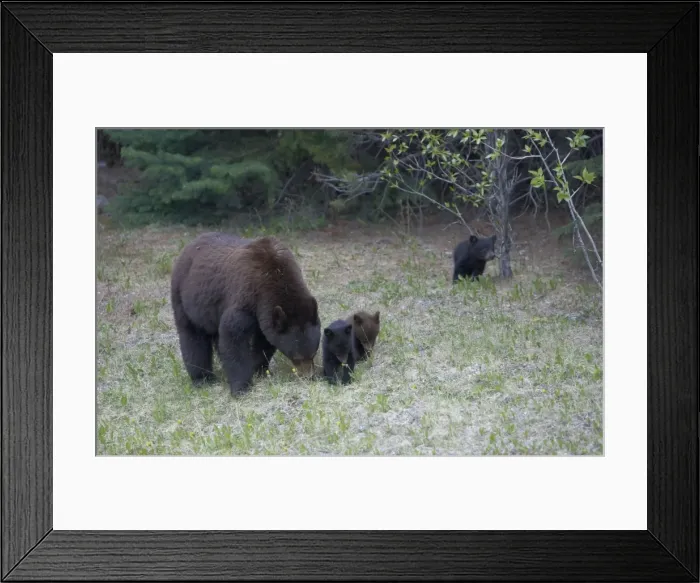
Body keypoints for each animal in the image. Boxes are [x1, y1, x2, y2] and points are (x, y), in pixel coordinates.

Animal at [170, 232, 321, 396]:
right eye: (297, 357)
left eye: (313, 354)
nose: (309, 376)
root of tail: (190, 245)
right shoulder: (246, 297)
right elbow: (233, 337)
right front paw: (241, 387)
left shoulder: (265, 315)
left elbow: (264, 341)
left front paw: (259, 370)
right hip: (185, 298)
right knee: (193, 336)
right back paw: (202, 377)